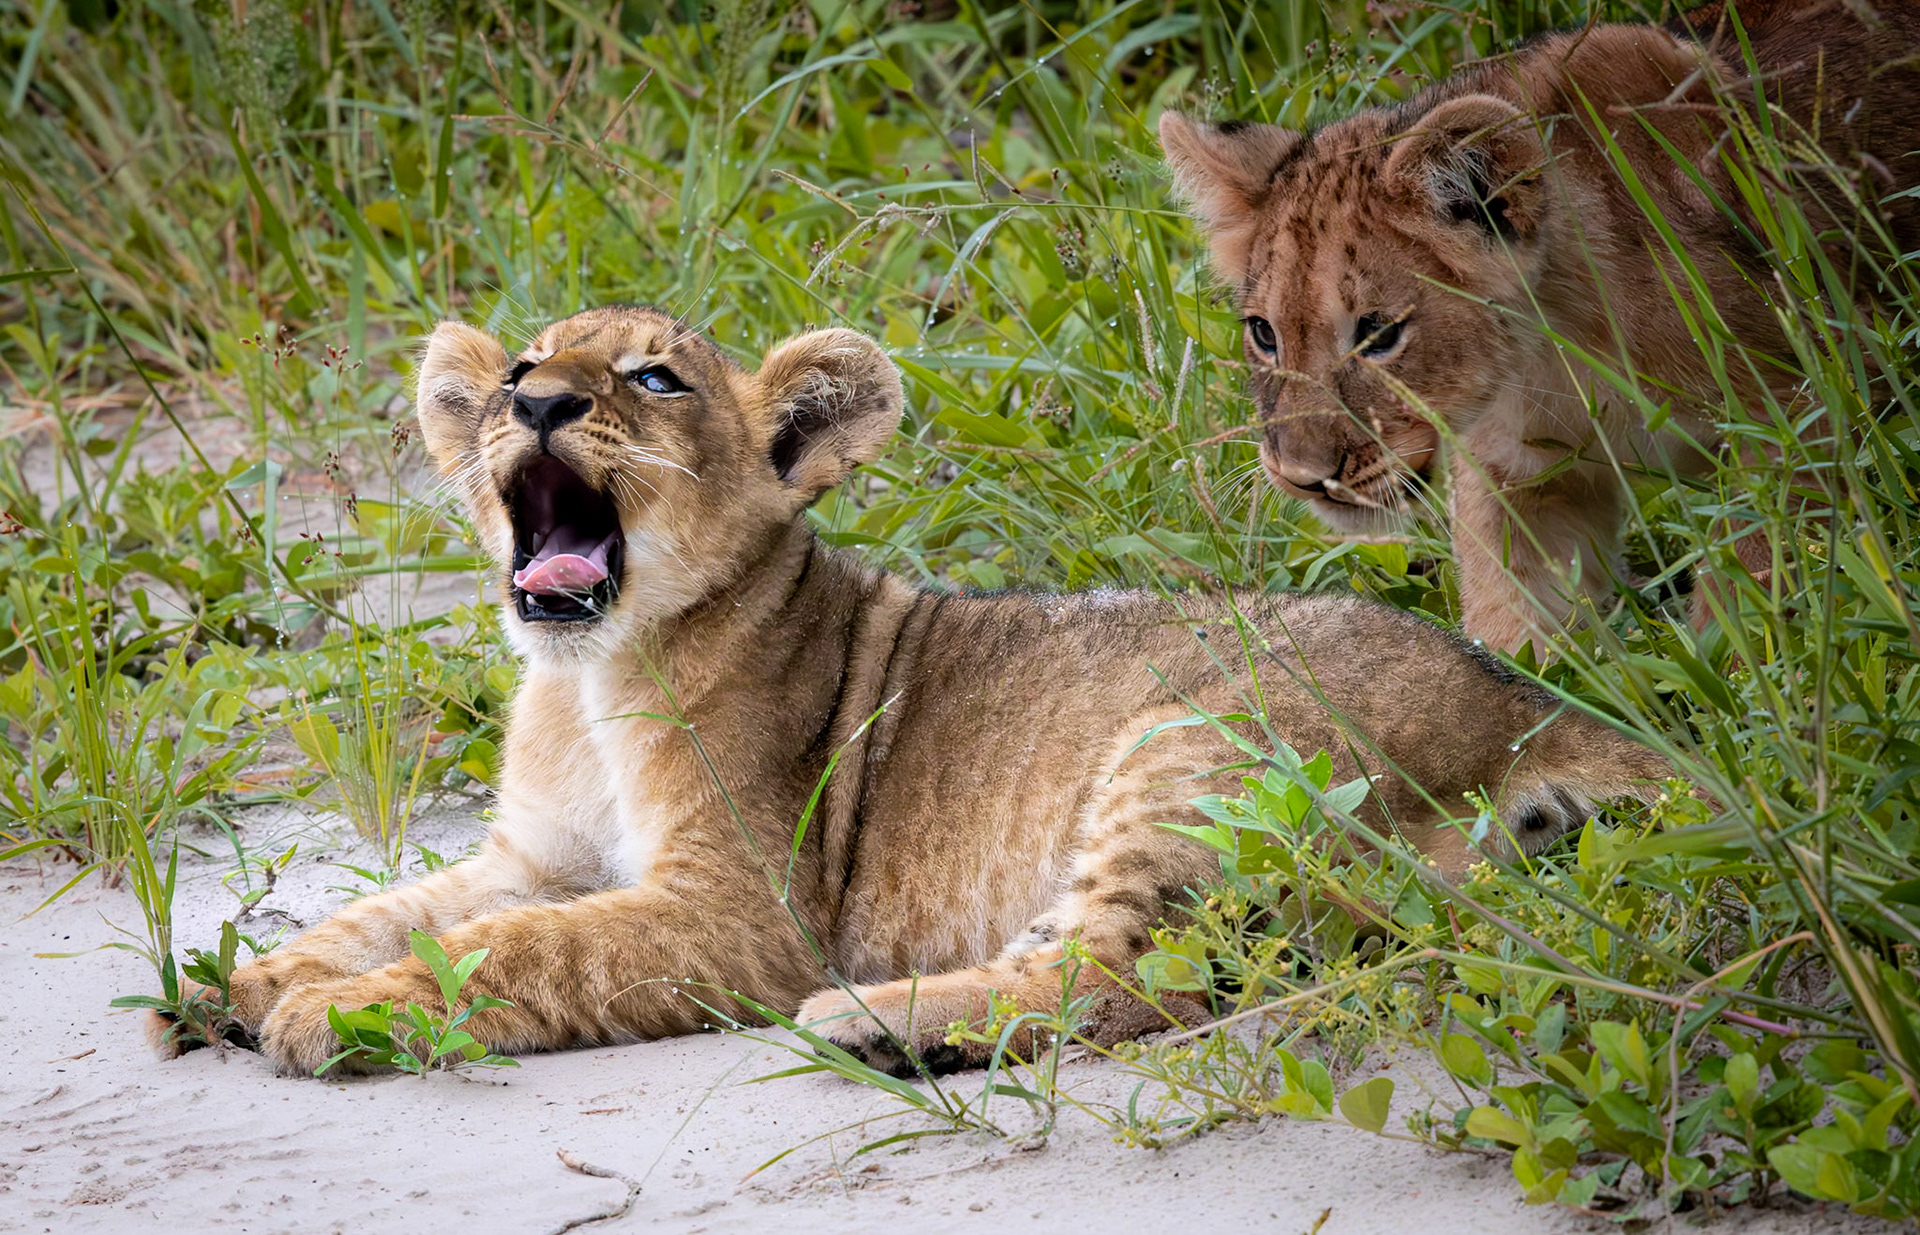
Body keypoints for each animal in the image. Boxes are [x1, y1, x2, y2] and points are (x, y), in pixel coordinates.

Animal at [156, 306, 1671, 1077]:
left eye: (650, 376)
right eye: (519, 371)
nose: (535, 405)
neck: (583, 680)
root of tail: (1535, 709)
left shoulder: (744, 916)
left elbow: (515, 950)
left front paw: (339, 1014)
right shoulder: (540, 852)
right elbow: (397, 908)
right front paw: (250, 976)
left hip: (1192, 737)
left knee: (1134, 976)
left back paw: (871, 1021)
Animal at [1160, 0, 1920, 653]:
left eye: (1378, 334)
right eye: (1264, 333)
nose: (1301, 478)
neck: (1555, 347)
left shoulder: (1803, 411)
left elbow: (1756, 588)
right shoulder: (1520, 476)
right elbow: (1512, 626)